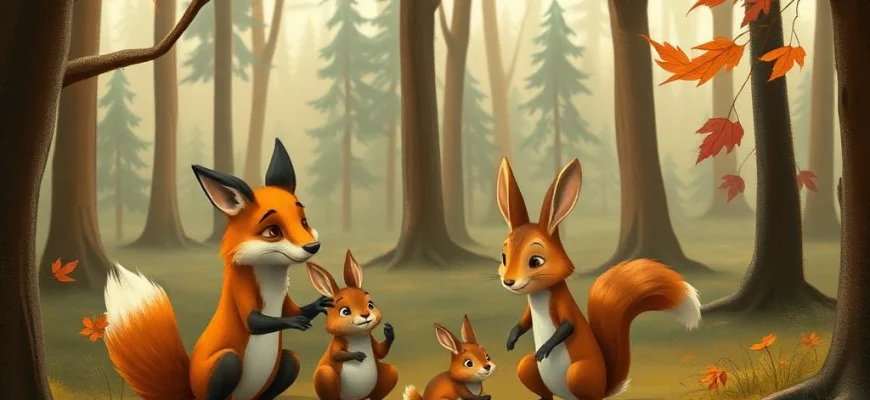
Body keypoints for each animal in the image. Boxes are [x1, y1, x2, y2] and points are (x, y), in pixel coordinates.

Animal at [102, 139, 334, 400]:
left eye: (304, 222)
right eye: (273, 231)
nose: (313, 246)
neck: (272, 285)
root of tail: (190, 387)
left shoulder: (285, 301)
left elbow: (298, 309)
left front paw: (319, 304)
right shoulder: (241, 292)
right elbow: (254, 321)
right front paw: (294, 322)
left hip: (288, 362)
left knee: (287, 364)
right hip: (226, 363)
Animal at [305, 250, 399, 400]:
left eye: (370, 305)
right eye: (345, 311)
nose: (365, 314)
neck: (357, 335)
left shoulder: (370, 338)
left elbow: (380, 352)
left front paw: (389, 331)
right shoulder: (338, 341)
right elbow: (336, 355)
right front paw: (357, 355)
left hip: (388, 375)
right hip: (325, 376)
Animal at [495, 158, 702, 400]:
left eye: (536, 261)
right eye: (503, 257)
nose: (509, 282)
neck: (538, 295)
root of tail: (604, 386)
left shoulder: (562, 303)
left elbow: (568, 326)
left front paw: (545, 348)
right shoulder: (530, 311)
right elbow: (525, 321)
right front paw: (512, 337)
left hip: (579, 373)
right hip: (528, 368)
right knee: (538, 382)